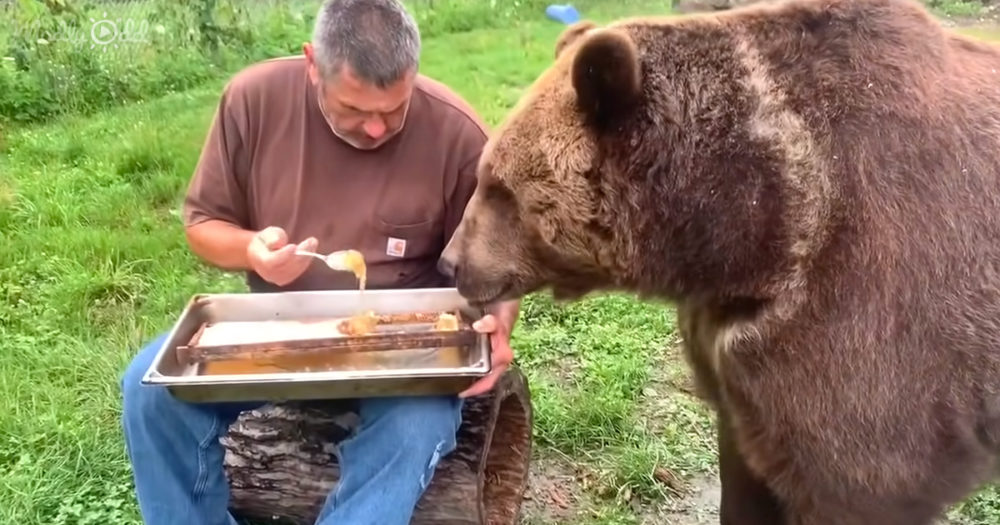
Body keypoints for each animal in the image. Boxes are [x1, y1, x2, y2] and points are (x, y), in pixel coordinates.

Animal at [436, 0, 1000, 523]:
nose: (451, 262)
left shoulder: (869, 319)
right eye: (488, 175)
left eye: (498, 186)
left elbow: (855, 471)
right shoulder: (739, 359)